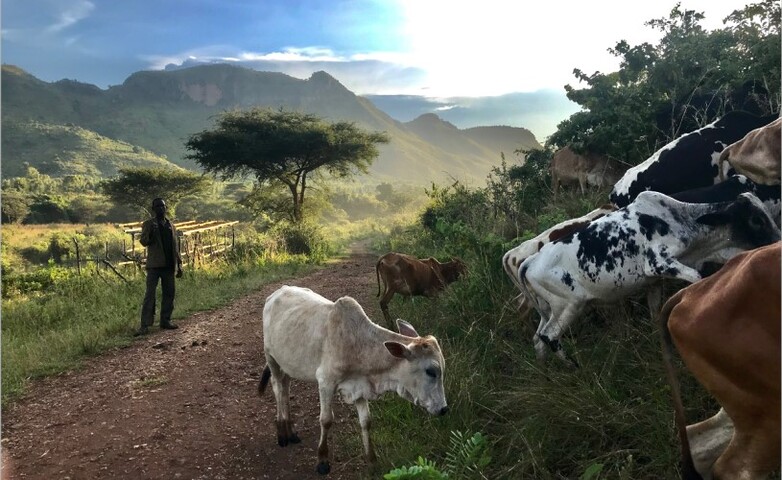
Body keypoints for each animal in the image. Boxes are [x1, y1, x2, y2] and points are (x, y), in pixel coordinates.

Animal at [262, 286, 450, 474]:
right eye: (431, 371)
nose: (444, 409)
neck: (358, 345)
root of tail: (277, 292)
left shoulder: (359, 387)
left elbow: (366, 422)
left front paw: (372, 461)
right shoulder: (325, 382)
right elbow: (326, 420)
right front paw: (322, 460)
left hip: (287, 364)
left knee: (285, 388)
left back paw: (291, 431)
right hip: (271, 357)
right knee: (278, 388)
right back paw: (282, 432)